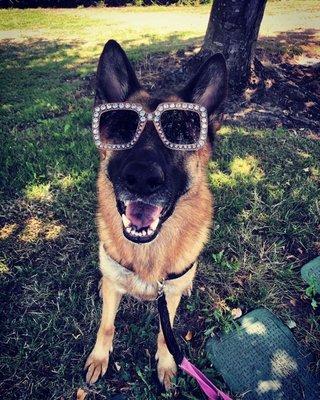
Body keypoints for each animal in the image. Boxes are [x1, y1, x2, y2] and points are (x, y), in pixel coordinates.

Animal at [84, 40, 226, 390]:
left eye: (181, 131)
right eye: (122, 128)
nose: (141, 178)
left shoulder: (168, 296)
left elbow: (165, 333)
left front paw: (166, 364)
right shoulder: (114, 291)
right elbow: (106, 325)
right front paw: (99, 357)